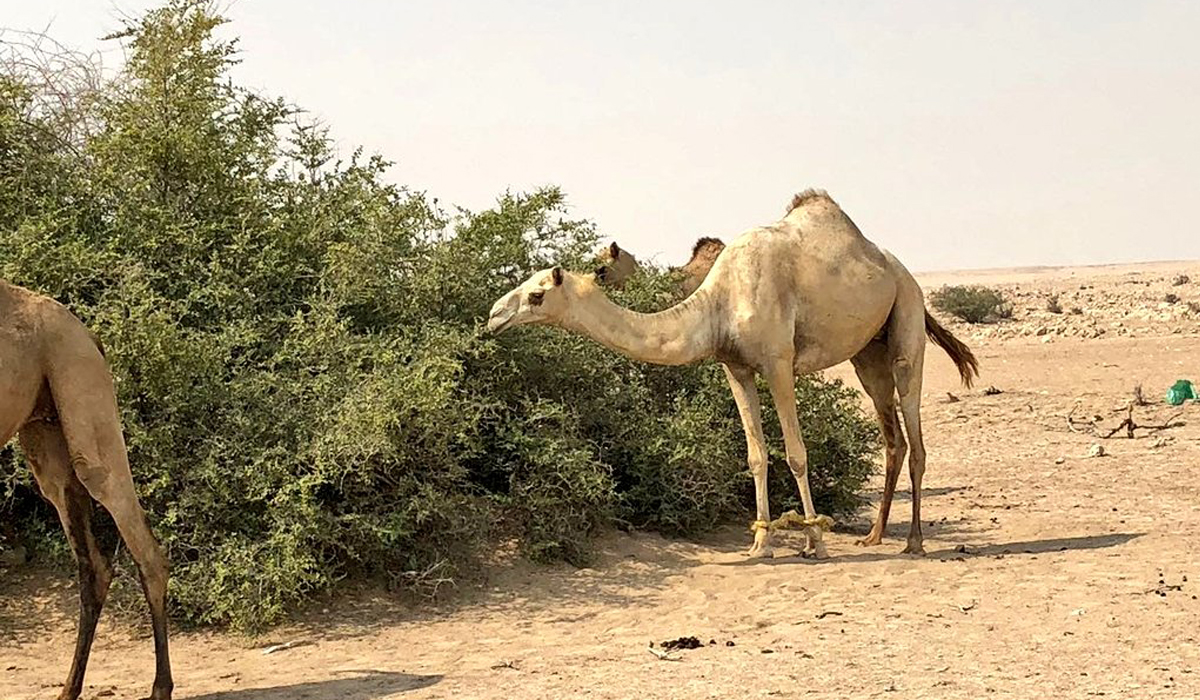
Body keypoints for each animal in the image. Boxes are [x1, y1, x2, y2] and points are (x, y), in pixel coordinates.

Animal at [0, 280, 172, 700]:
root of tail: (89, 334)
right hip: (45, 435)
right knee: (93, 564)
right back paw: (68, 689)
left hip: (80, 378)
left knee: (142, 546)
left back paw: (160, 688)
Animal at [488, 190, 978, 558]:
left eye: (536, 295)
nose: (493, 315)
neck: (719, 303)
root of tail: (901, 272)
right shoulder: (735, 367)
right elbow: (756, 455)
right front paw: (761, 543)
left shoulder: (778, 362)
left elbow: (796, 453)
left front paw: (814, 541)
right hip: (866, 354)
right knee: (893, 437)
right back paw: (874, 536)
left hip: (906, 316)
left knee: (914, 430)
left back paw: (913, 542)